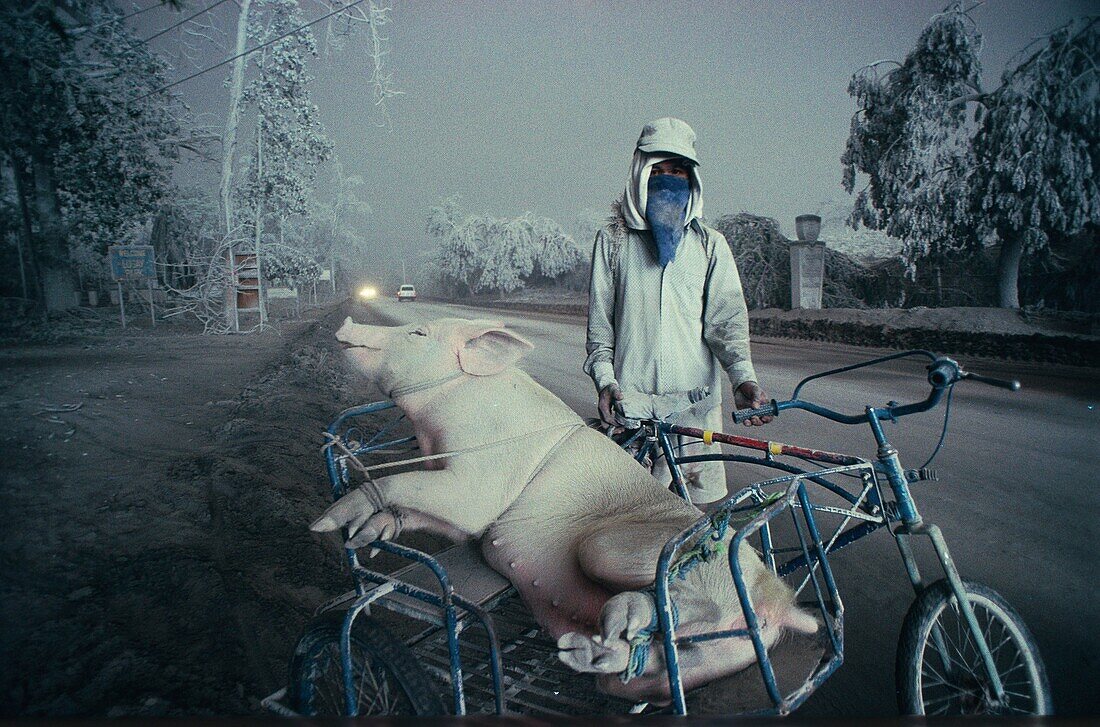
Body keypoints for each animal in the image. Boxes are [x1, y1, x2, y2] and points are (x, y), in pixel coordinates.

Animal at [310, 316, 818, 703]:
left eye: (417, 333)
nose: (347, 323)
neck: (434, 426)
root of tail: (777, 599)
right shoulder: (452, 501)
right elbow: (414, 504)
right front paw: (365, 539)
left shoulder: (481, 482)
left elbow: (409, 484)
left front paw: (322, 524)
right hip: (723, 656)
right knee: (653, 665)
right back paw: (587, 652)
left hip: (615, 548)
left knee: (683, 604)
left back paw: (619, 619)